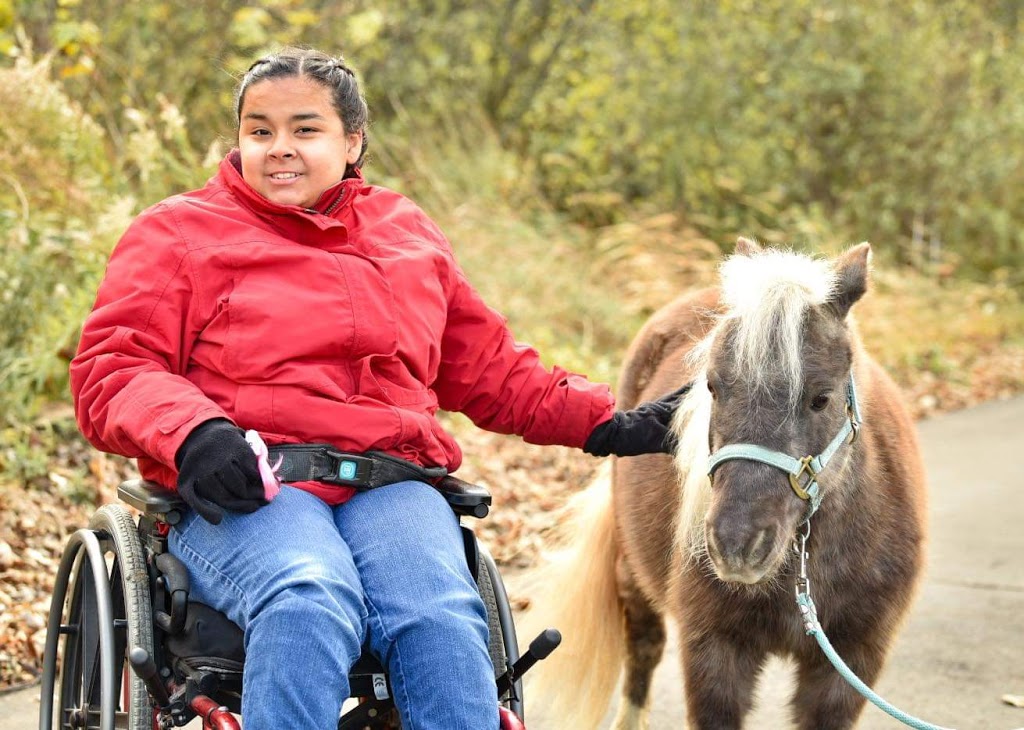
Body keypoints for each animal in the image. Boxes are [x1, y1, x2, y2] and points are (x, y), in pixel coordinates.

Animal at [520, 240, 929, 728]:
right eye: (712, 387)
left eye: (821, 398)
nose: (736, 543)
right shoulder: (715, 655)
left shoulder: (848, 664)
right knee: (644, 649)